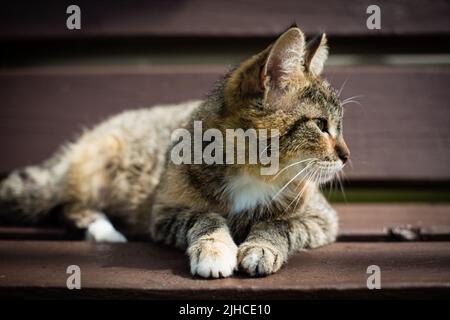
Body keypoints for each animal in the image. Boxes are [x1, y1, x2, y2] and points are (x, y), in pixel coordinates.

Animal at [0, 26, 350, 278]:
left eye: (339, 124)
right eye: (321, 124)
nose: (347, 155)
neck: (251, 173)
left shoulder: (321, 217)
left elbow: (281, 224)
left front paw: (261, 247)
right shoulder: (164, 212)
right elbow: (203, 216)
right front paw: (214, 249)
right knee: (64, 203)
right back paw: (105, 230)